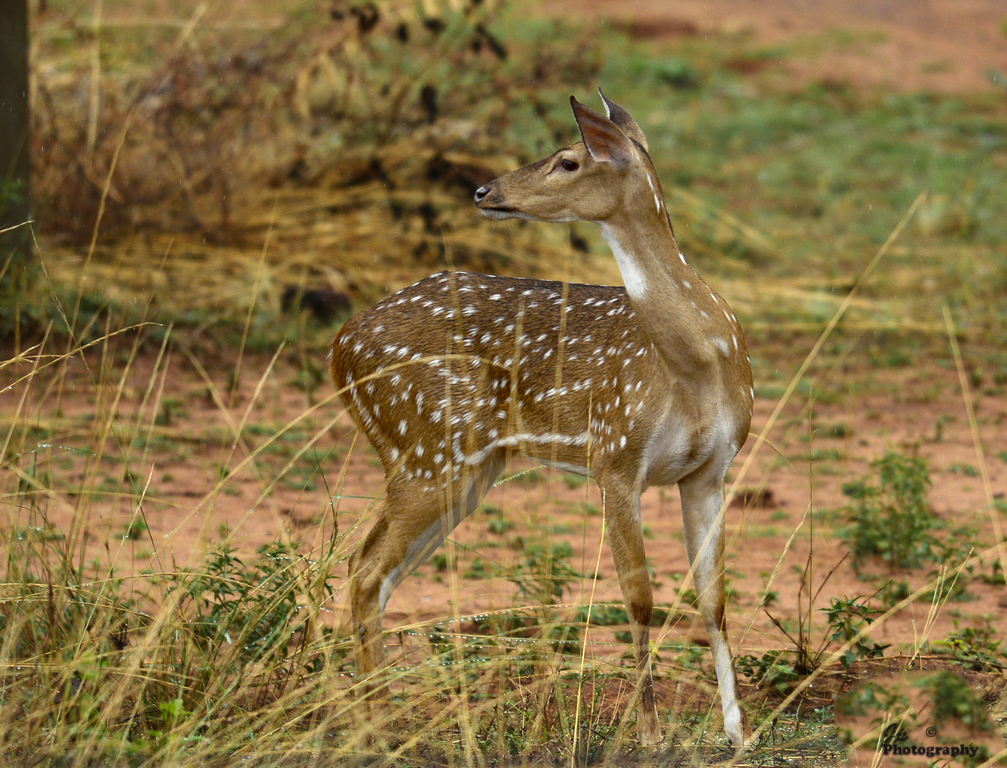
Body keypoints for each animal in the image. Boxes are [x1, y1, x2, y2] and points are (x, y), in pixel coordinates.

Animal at [332, 93, 757, 748]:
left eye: (567, 161)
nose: (483, 190)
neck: (698, 365)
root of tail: (338, 349)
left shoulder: (710, 469)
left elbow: (713, 599)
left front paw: (739, 733)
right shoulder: (615, 455)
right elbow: (640, 596)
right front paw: (649, 734)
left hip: (462, 468)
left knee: (371, 573)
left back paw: (378, 722)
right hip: (426, 449)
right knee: (363, 570)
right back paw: (378, 729)